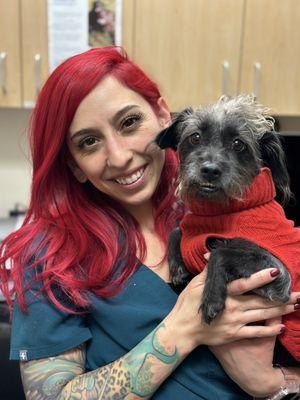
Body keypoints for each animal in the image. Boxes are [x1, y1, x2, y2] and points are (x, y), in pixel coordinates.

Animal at [155, 95, 300, 360]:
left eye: (238, 144)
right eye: (195, 137)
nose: (210, 170)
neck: (220, 210)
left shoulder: (279, 275)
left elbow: (220, 252)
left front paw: (212, 298)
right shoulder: (193, 226)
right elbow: (177, 230)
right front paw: (177, 266)